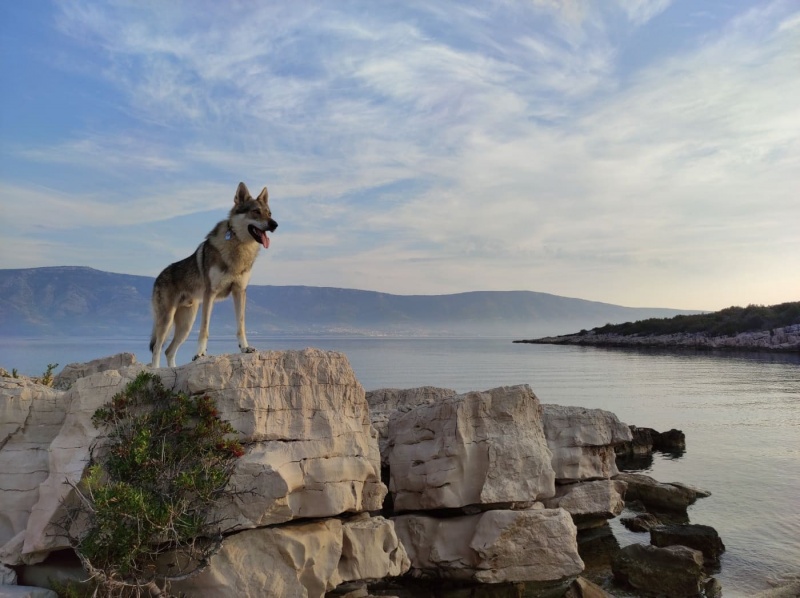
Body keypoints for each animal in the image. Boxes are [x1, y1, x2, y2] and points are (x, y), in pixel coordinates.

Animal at [150, 182, 278, 370]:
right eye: (256, 211)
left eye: (269, 213)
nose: (275, 224)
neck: (239, 248)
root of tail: (158, 276)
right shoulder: (210, 293)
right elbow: (205, 329)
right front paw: (200, 354)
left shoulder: (240, 292)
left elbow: (241, 325)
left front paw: (245, 348)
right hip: (167, 320)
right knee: (157, 348)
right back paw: (155, 370)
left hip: (186, 325)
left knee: (169, 351)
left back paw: (173, 370)